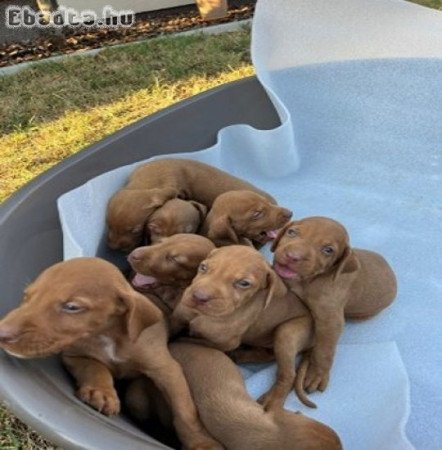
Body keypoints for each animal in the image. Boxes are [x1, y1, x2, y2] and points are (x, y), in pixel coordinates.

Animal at [0, 256, 223, 450]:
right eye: (27, 296)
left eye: (72, 307)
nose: (2, 333)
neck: (107, 336)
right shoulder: (74, 356)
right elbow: (95, 366)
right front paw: (101, 393)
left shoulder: (167, 369)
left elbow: (185, 410)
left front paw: (201, 443)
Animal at [170, 246, 318, 412]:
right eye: (203, 267)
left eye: (244, 283)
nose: (199, 297)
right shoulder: (177, 319)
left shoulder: (225, 343)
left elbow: (191, 340)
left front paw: (182, 339)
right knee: (268, 354)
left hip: (287, 331)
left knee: (288, 374)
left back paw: (272, 402)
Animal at [272, 218, 398, 394]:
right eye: (292, 232)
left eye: (328, 250)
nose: (292, 257)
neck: (307, 281)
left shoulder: (330, 320)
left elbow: (324, 349)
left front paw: (317, 374)